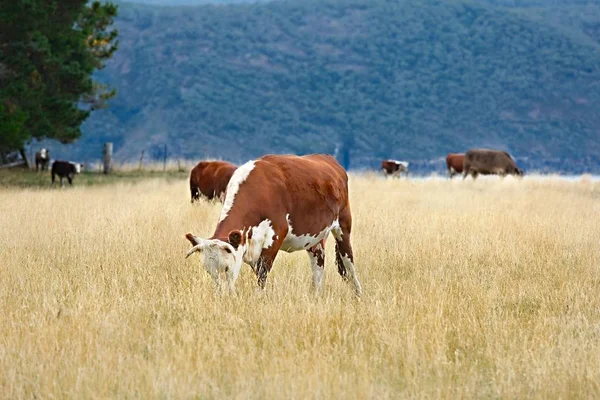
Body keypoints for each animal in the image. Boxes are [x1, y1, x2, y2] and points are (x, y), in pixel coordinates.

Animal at [183, 155, 360, 296]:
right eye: (208, 271)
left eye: (226, 268)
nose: (222, 295)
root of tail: (329, 160)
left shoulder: (276, 235)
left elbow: (262, 272)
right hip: (315, 239)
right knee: (318, 264)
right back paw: (315, 295)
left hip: (343, 226)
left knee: (348, 260)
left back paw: (358, 293)